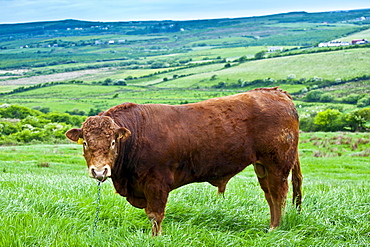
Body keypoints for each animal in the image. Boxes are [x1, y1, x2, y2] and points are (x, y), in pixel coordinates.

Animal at [67, 87, 304, 235]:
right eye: (85, 143)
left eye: (113, 142)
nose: (99, 171)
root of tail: (276, 92)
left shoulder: (156, 183)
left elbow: (155, 215)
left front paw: (156, 238)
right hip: (262, 166)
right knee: (270, 196)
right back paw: (271, 227)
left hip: (277, 164)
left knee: (279, 196)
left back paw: (275, 229)